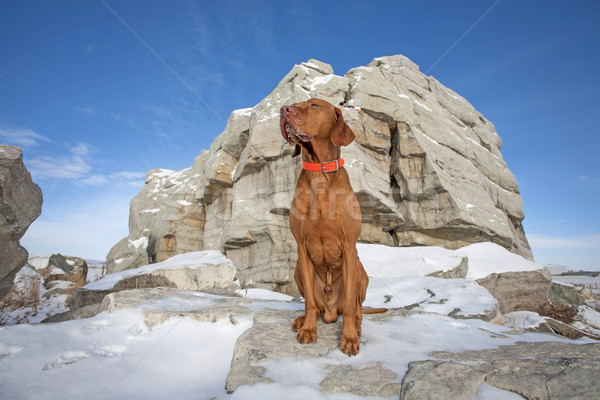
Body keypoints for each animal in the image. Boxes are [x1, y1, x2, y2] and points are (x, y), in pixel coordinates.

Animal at [280, 98, 384, 354]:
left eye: (314, 105)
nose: (283, 110)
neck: (320, 173)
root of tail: (330, 312)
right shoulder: (302, 248)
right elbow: (308, 302)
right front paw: (308, 329)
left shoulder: (349, 246)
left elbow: (351, 308)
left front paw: (349, 338)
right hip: (298, 270)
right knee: (316, 307)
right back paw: (301, 321)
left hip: (360, 271)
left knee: (356, 309)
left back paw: (356, 326)